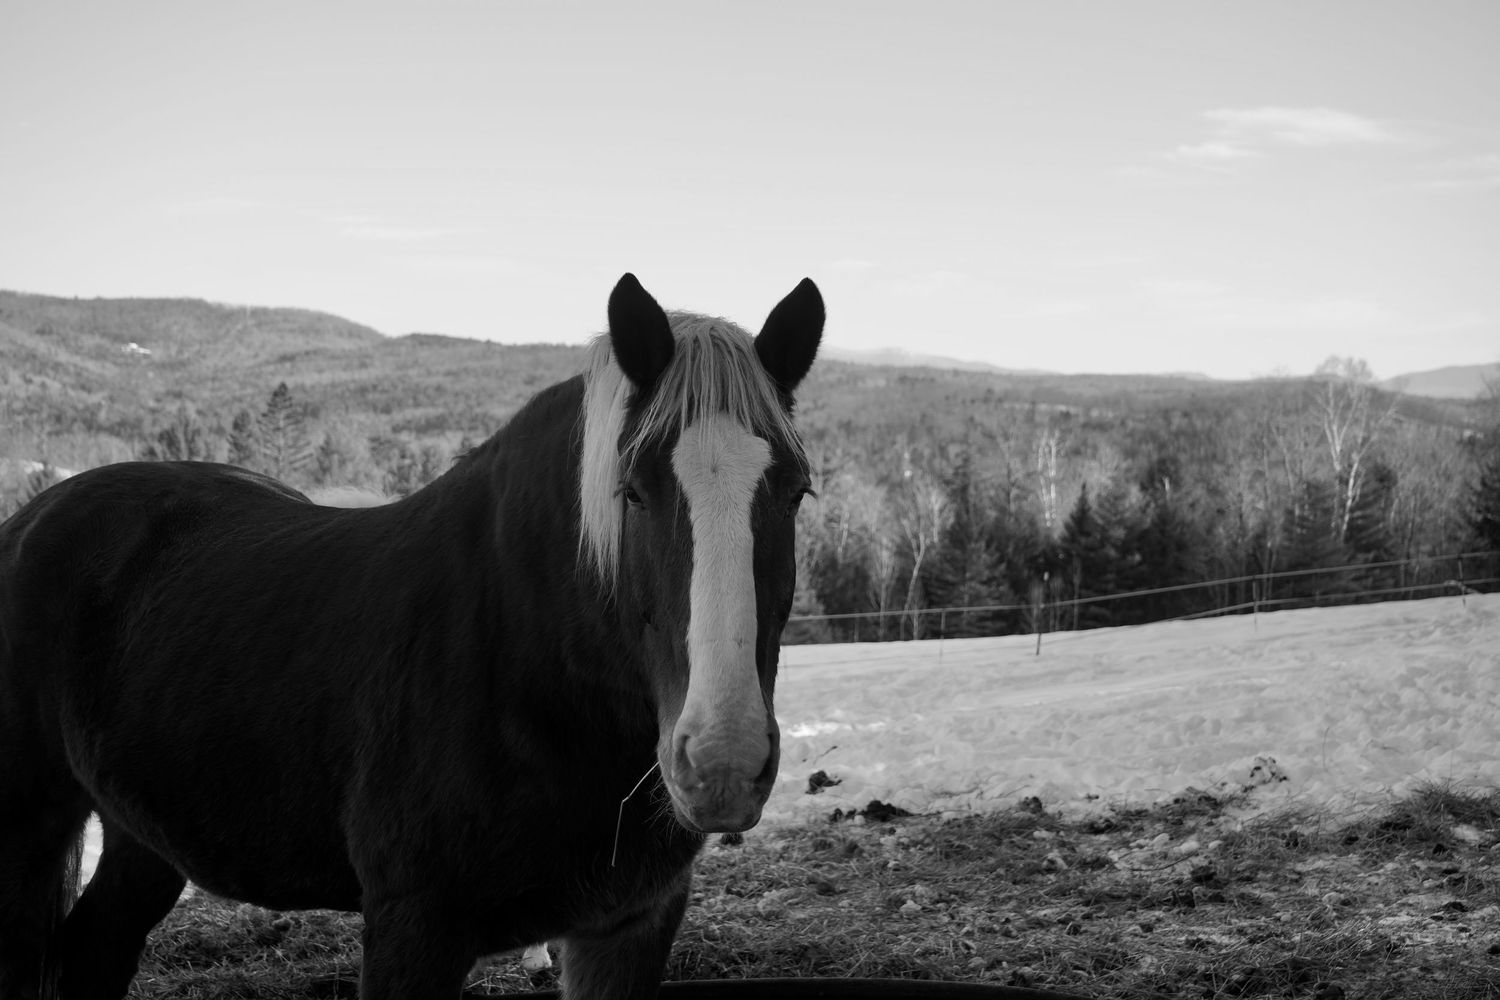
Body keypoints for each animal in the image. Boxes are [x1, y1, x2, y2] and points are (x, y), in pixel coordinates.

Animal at [0, 273, 824, 1000]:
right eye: (633, 492)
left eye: (797, 491)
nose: (721, 764)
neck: (520, 664)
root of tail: (33, 517)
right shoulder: (414, 928)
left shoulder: (628, 926)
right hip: (30, 830)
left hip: (142, 834)